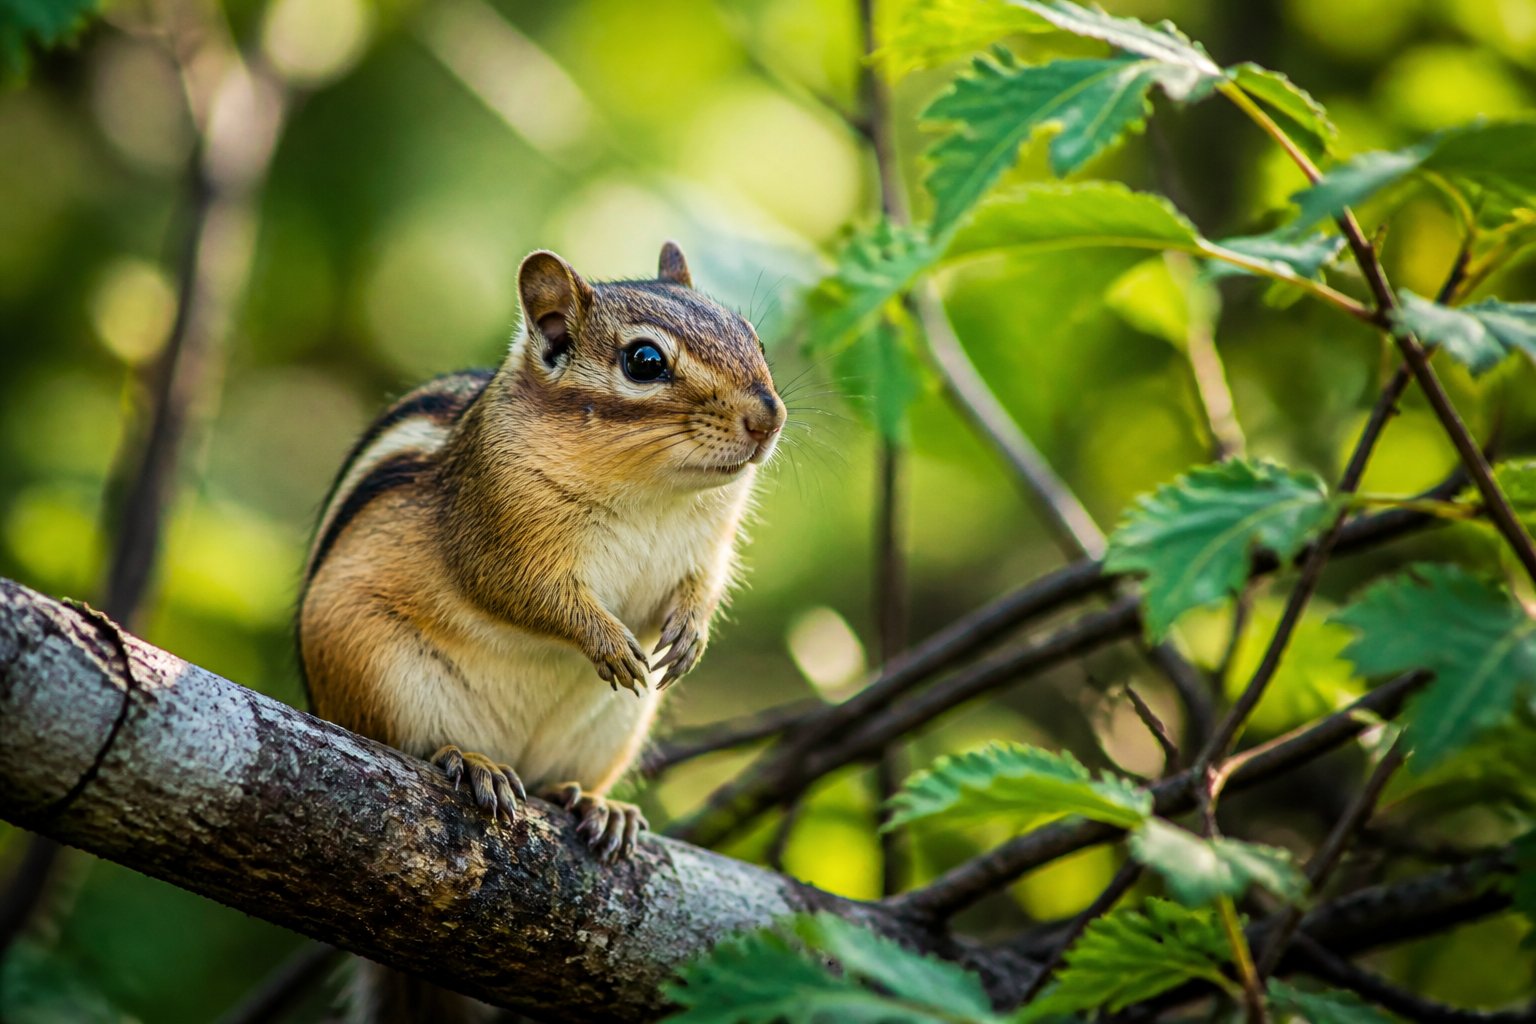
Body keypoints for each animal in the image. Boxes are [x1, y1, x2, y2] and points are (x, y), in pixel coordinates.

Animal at [296, 242, 783, 1022]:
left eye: (754, 340)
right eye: (645, 361)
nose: (768, 418)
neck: (653, 491)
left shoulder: (708, 547)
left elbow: (701, 590)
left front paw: (689, 635)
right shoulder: (498, 528)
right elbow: (530, 596)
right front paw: (607, 640)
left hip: (611, 731)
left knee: (565, 784)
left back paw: (594, 805)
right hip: (375, 673)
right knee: (406, 744)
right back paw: (472, 762)